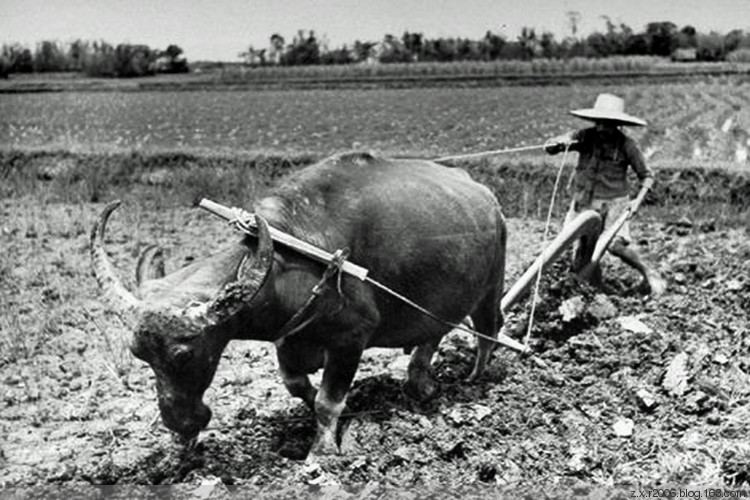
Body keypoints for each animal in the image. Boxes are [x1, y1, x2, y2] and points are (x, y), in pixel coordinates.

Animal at [91, 152, 508, 458]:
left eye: (184, 355)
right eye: (139, 354)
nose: (181, 424)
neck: (296, 257)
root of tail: (488, 199)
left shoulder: (350, 341)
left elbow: (328, 402)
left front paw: (321, 452)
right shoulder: (288, 339)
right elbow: (296, 385)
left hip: (490, 288)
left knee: (489, 330)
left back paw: (473, 378)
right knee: (432, 336)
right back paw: (421, 382)